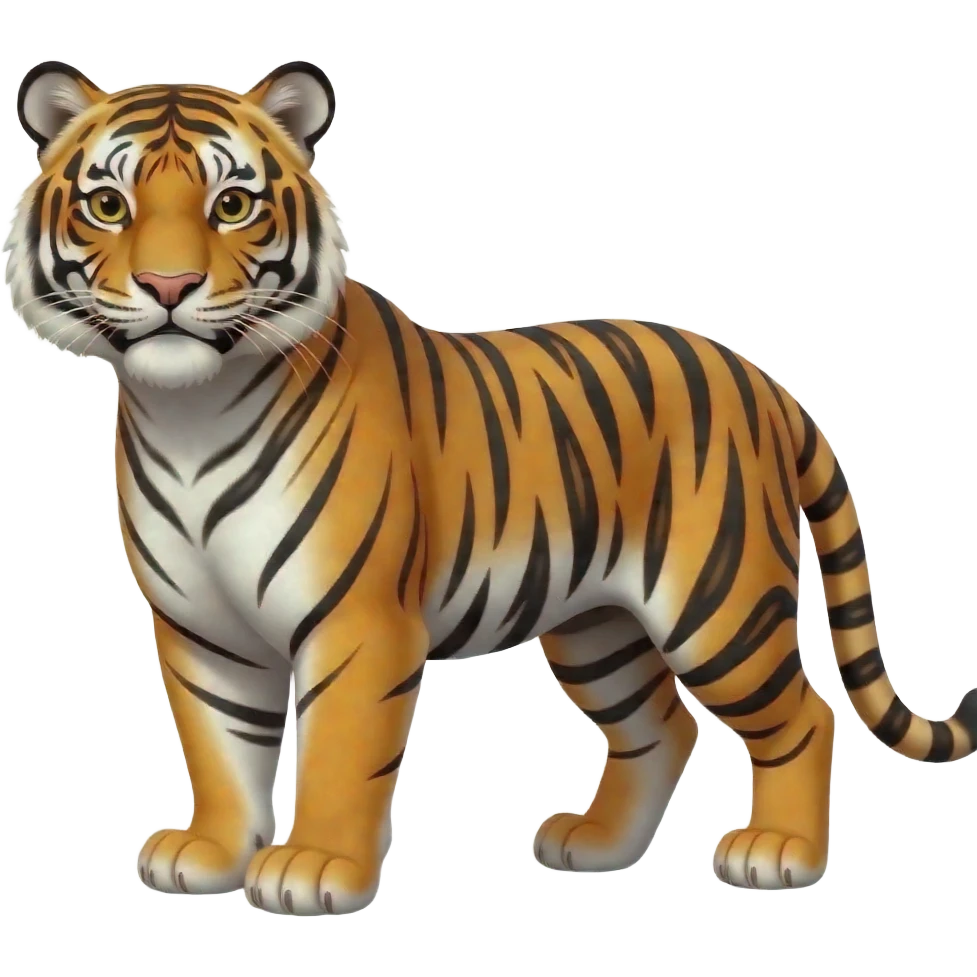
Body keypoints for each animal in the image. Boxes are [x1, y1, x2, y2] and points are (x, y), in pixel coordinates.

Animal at [5, 58, 974, 917]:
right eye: (108, 205)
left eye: (232, 205)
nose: (169, 284)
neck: (187, 411)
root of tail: (763, 381)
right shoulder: (202, 627)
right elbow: (220, 747)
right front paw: (209, 852)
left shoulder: (357, 621)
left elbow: (337, 753)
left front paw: (313, 868)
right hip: (597, 624)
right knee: (662, 724)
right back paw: (596, 844)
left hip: (717, 603)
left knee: (803, 716)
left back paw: (779, 854)